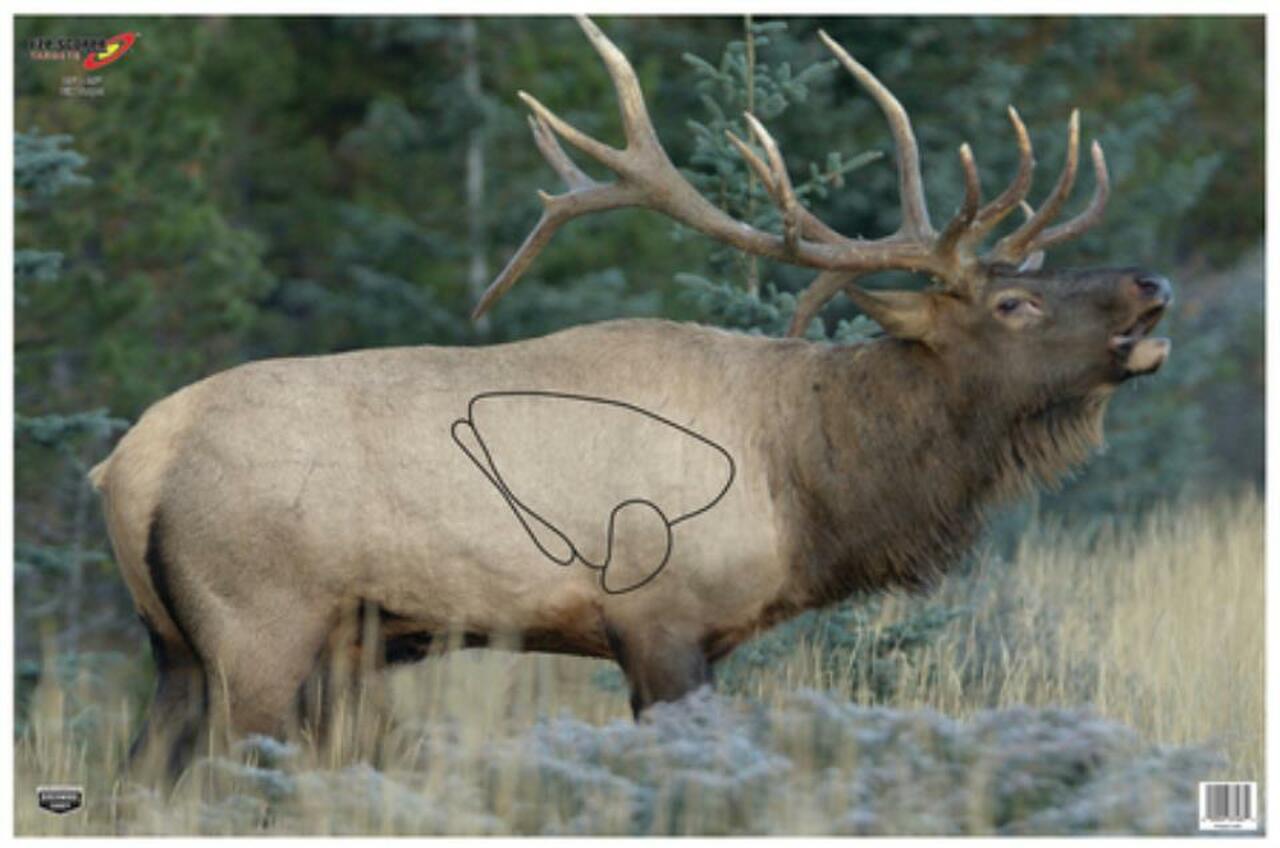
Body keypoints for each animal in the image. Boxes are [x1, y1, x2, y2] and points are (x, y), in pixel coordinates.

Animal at [91, 16, 1172, 784]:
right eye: (1014, 302)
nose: (1152, 282)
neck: (804, 483)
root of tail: (125, 463)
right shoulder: (660, 622)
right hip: (259, 624)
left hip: (178, 647)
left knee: (137, 786)